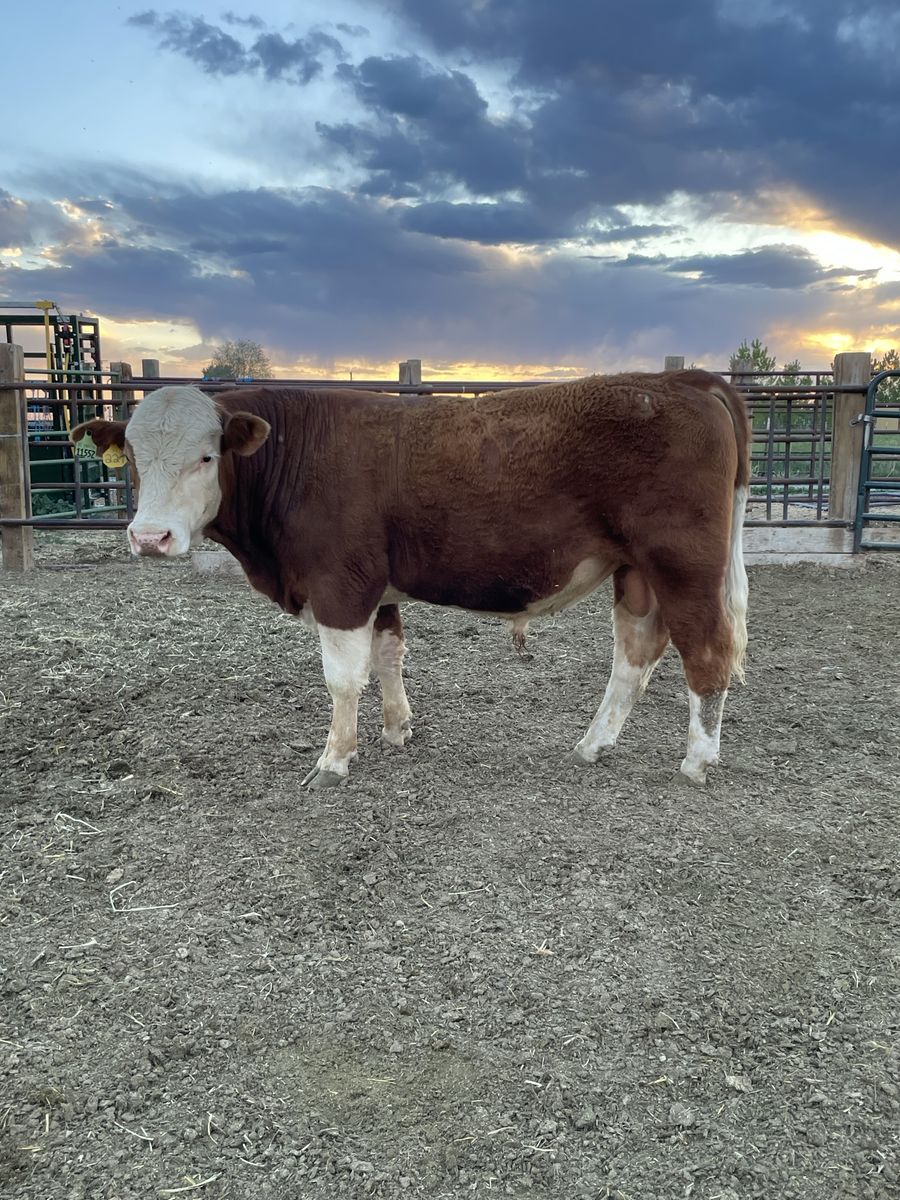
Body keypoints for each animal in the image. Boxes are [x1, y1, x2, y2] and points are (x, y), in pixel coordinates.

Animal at [71, 370, 750, 790]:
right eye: (132, 460)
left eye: (207, 456)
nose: (150, 537)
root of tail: (683, 379)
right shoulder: (377, 586)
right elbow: (389, 654)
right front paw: (397, 728)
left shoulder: (339, 585)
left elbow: (342, 678)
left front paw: (334, 760)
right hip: (636, 573)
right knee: (635, 653)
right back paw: (594, 743)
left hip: (683, 563)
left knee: (705, 651)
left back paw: (697, 759)